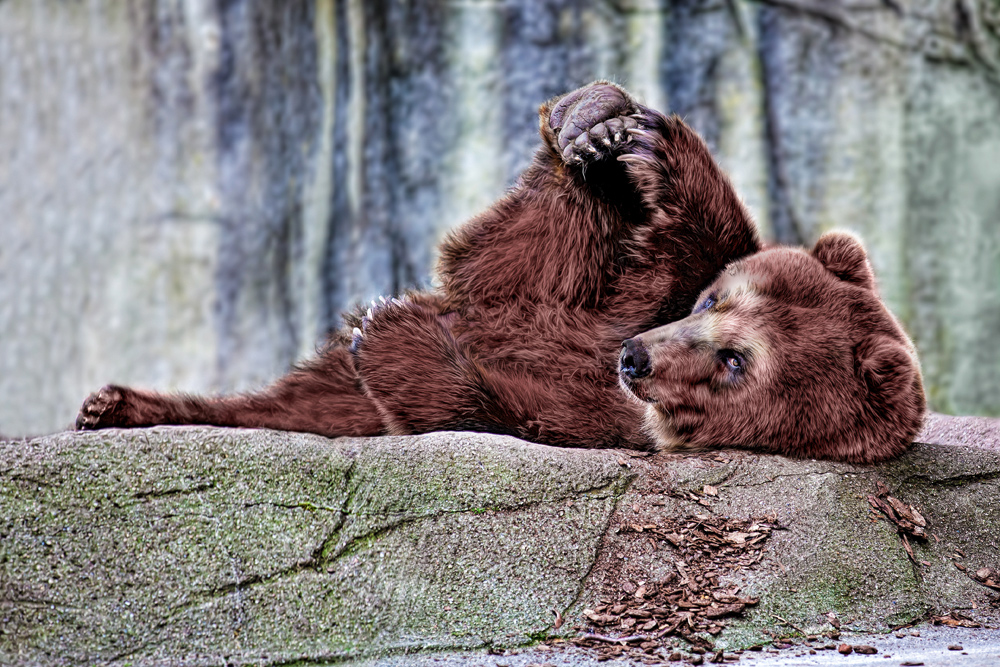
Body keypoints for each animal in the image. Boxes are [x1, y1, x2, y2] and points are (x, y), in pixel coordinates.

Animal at [74, 81, 924, 462]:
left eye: (736, 362)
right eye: (717, 299)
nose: (638, 357)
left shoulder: (598, 420)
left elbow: (481, 397)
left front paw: (392, 334)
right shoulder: (632, 297)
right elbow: (531, 265)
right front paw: (606, 128)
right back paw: (111, 404)